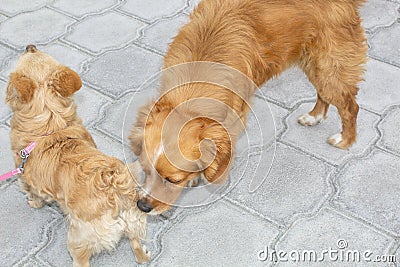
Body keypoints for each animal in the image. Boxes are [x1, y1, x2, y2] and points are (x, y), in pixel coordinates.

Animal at [5, 45, 150, 266]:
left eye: (28, 55)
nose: (30, 46)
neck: (50, 125)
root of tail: (114, 184)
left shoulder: (24, 175)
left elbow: (32, 193)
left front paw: (34, 203)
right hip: (133, 222)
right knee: (136, 244)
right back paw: (144, 256)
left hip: (77, 238)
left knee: (81, 259)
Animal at [130, 0, 368, 215]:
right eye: (144, 170)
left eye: (173, 180)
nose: (142, 207)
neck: (193, 85)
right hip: (313, 63)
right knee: (324, 94)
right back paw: (314, 116)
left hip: (329, 65)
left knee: (350, 105)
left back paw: (345, 140)